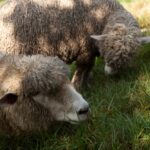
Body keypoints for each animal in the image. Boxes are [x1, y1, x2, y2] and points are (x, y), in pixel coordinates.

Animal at [0, 0, 150, 88]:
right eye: (109, 48)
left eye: (131, 54)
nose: (110, 74)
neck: (103, 16)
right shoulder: (85, 49)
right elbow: (82, 69)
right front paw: (77, 86)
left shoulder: (91, 50)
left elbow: (89, 68)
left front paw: (88, 83)